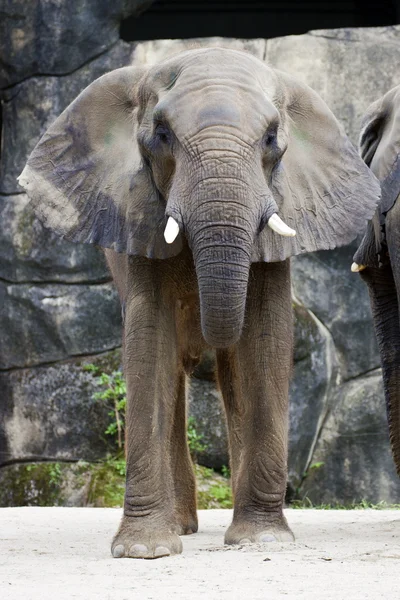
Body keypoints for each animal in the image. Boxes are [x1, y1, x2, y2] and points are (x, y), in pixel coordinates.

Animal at [18, 47, 380, 556]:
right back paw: (181, 525)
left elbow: (265, 338)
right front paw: (143, 551)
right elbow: (150, 341)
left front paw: (263, 541)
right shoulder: (138, 218)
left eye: (272, 138)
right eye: (162, 135)